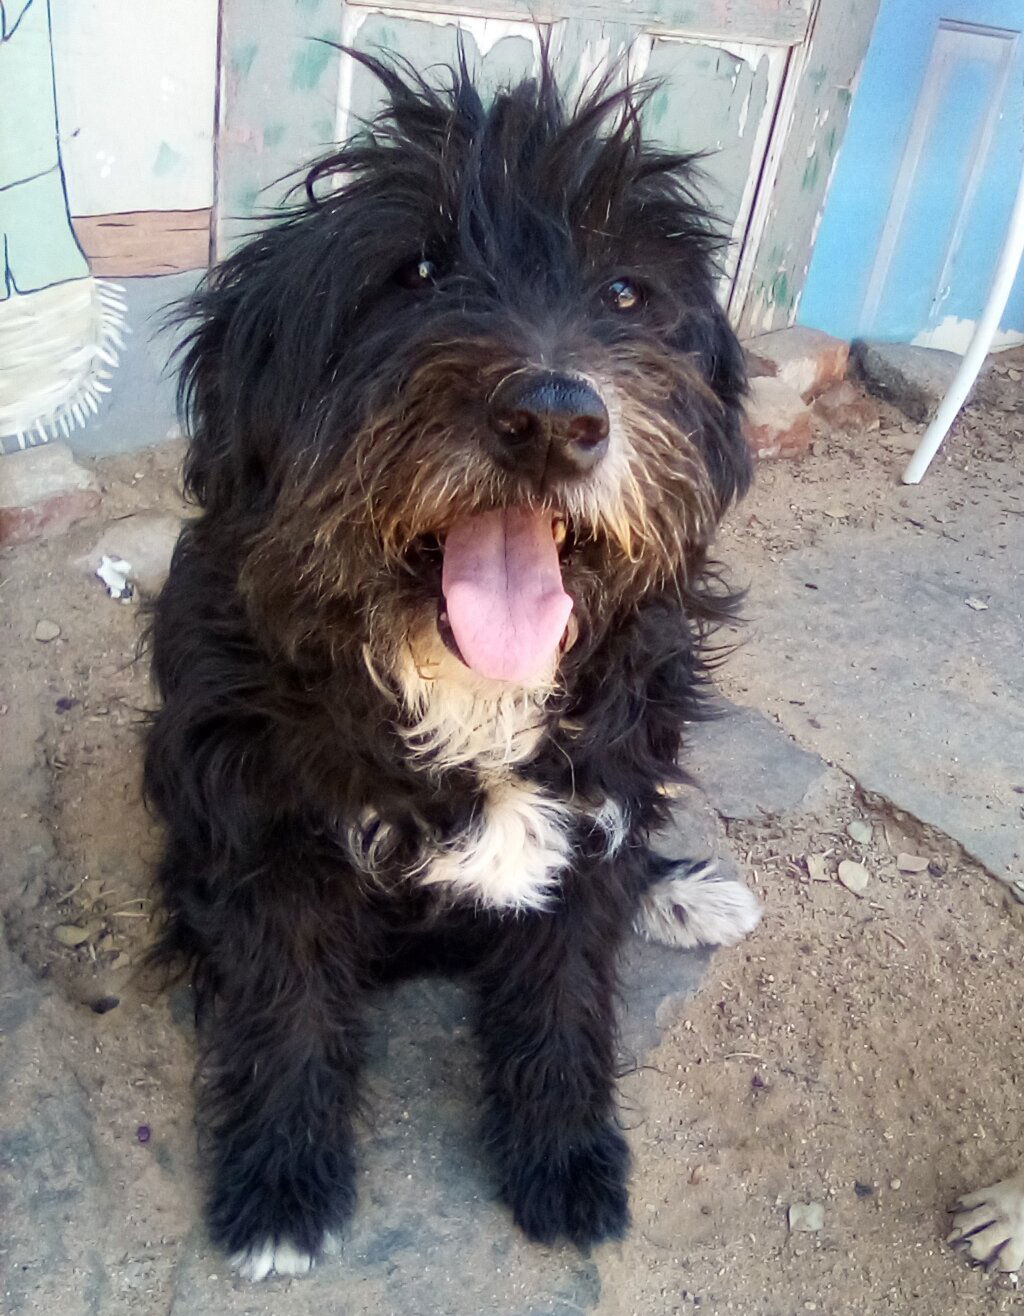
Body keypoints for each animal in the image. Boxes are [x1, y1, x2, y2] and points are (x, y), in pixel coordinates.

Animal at [147, 48, 763, 1273]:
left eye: (627, 294)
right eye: (415, 271)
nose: (555, 419)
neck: (464, 700)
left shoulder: (592, 805)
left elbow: (566, 991)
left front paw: (565, 1160)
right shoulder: (264, 838)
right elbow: (286, 1011)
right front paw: (279, 1187)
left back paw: (678, 891)